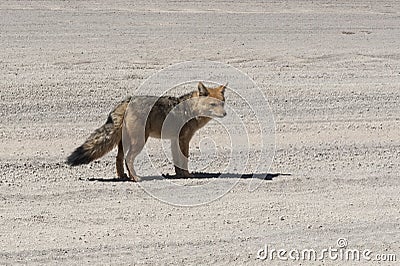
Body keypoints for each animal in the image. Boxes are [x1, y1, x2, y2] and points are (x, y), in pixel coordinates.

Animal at [67, 82, 227, 182]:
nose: (225, 114)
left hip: (124, 143)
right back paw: (135, 178)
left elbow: (177, 161)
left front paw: (179, 174)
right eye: (213, 104)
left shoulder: (174, 140)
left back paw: (123, 176)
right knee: (128, 158)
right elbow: (184, 159)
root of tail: (126, 101)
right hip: (140, 141)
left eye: (223, 104)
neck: (191, 109)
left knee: (119, 158)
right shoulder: (183, 139)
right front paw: (187, 174)